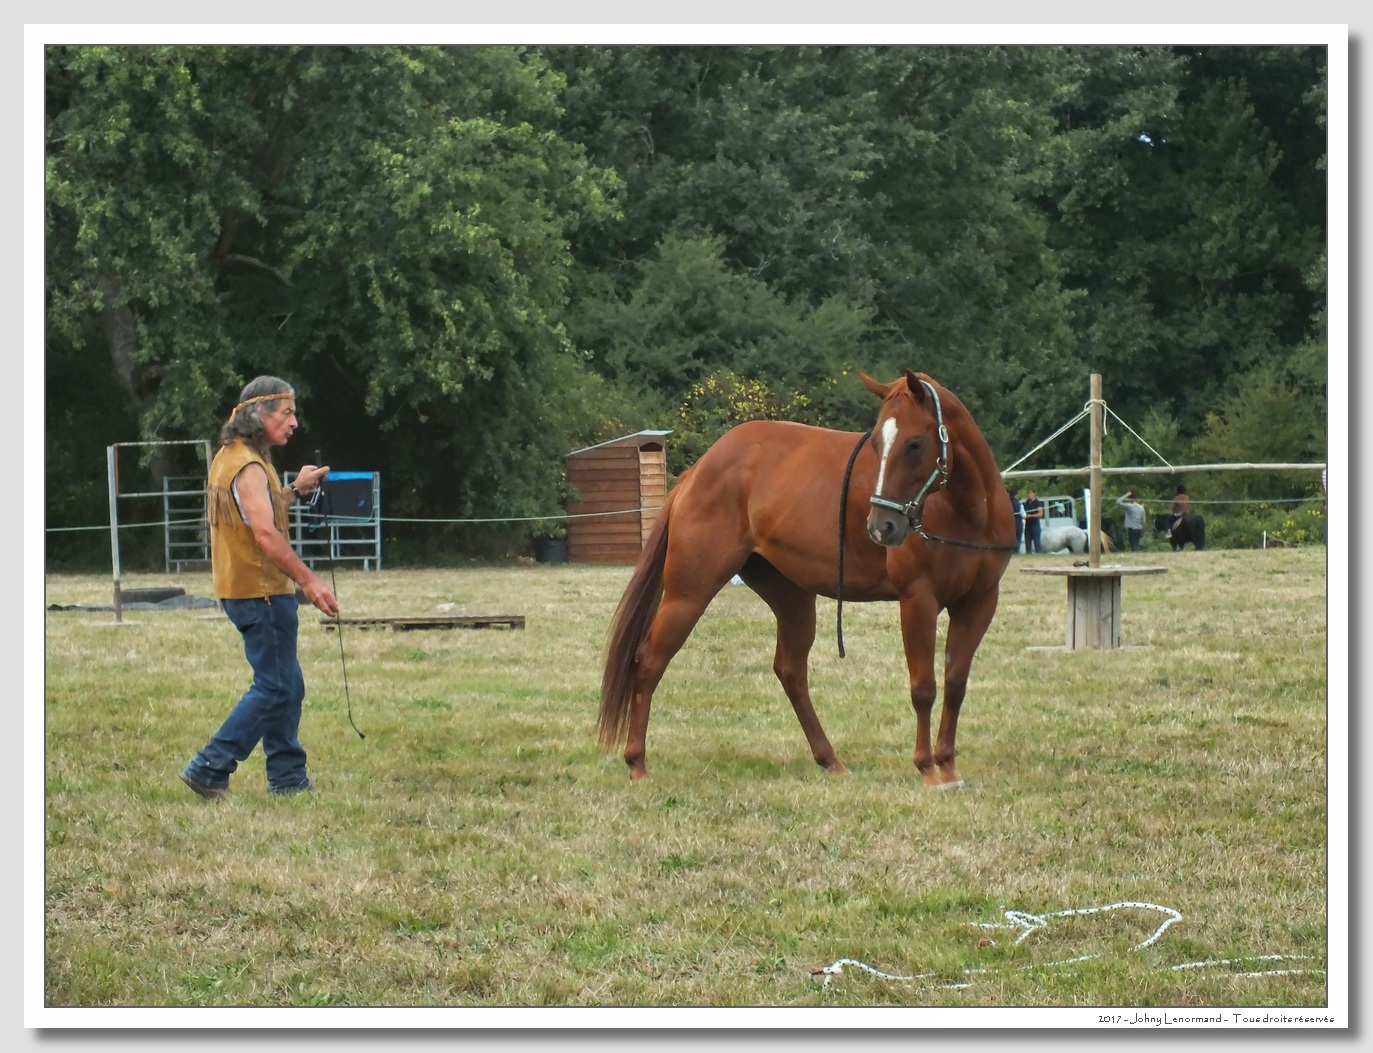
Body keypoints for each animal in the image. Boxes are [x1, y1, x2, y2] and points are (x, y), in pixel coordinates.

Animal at [595, 370, 1016, 779]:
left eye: (914, 444)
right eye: (876, 443)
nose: (882, 526)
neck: (966, 512)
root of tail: (698, 470)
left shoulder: (979, 603)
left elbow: (955, 683)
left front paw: (948, 764)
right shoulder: (918, 601)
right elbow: (924, 687)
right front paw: (928, 768)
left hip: (792, 597)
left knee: (790, 671)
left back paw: (830, 760)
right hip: (689, 593)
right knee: (650, 660)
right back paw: (637, 763)